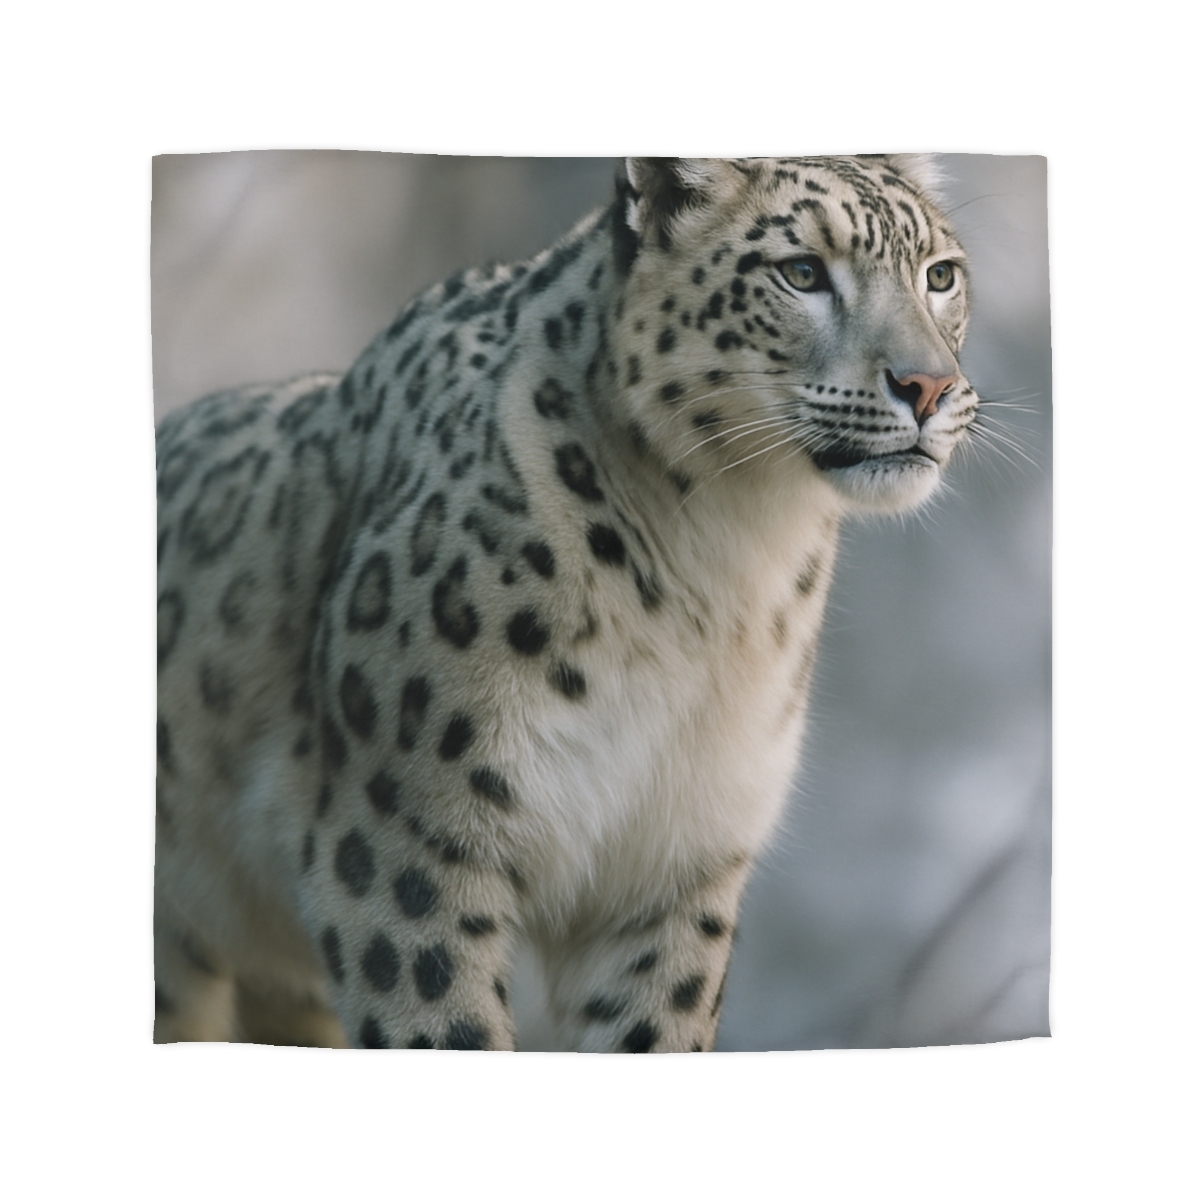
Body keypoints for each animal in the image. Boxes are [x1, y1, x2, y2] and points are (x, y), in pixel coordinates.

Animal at [154, 155, 977, 1052]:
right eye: (801, 272)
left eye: (940, 276)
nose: (928, 386)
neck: (728, 563)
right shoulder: (407, 844)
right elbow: (446, 1029)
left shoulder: (675, 868)